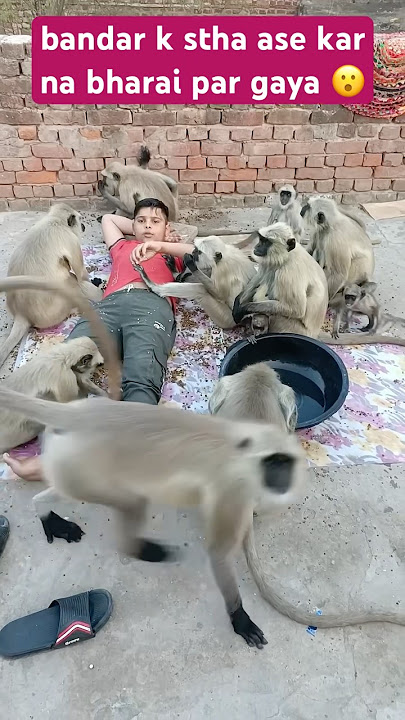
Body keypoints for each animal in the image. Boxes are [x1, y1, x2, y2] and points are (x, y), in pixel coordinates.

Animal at [0, 204, 103, 369]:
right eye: (80, 220)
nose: (83, 226)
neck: (55, 221)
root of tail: (21, 313)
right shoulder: (71, 240)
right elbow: (80, 274)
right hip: (57, 309)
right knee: (74, 282)